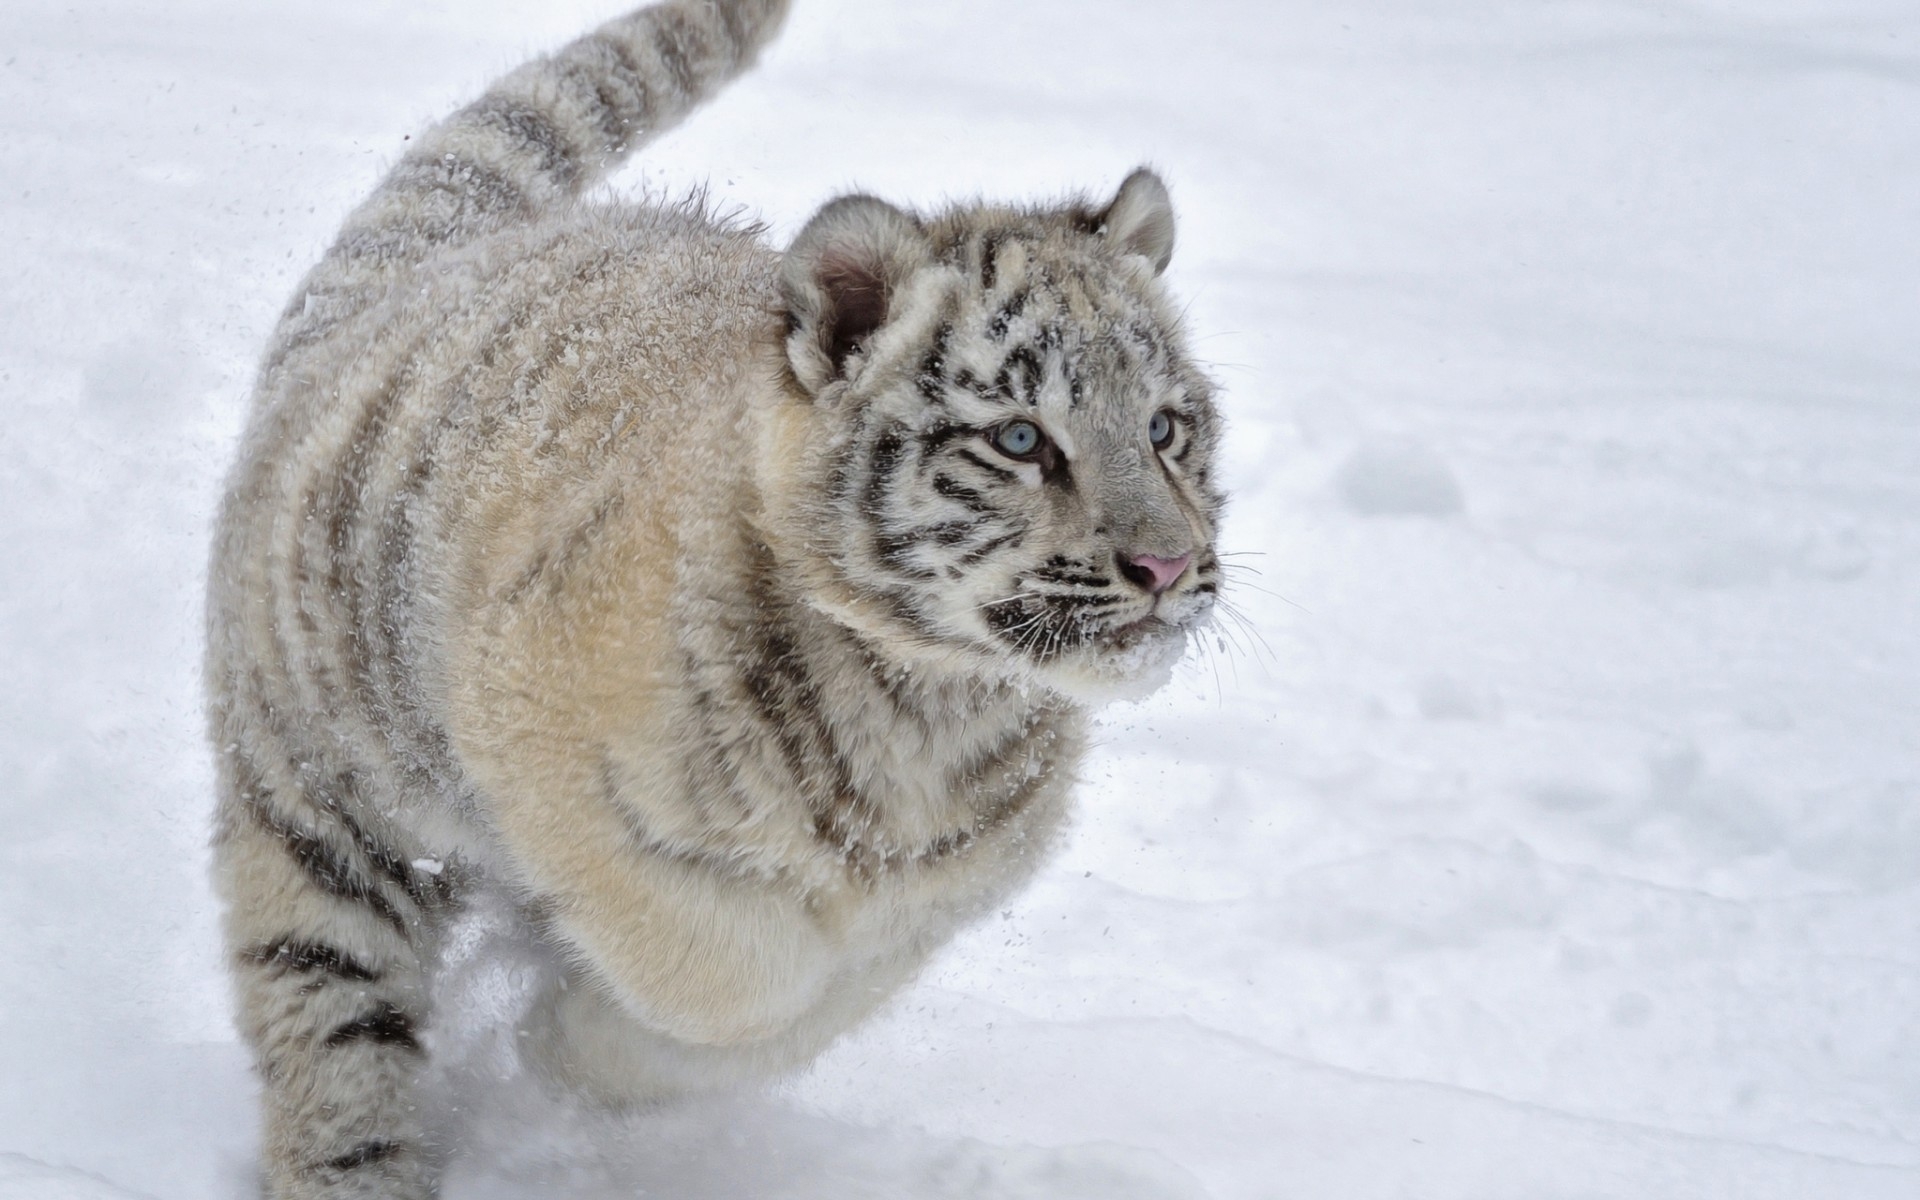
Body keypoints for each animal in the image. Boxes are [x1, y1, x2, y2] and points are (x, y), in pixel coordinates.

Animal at [203, 0, 1227, 1195]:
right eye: (1021, 440)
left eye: (1163, 428)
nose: (1168, 567)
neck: (927, 706)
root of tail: (430, 268)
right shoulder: (543, 749)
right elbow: (726, 975)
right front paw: (560, 1038)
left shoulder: (922, 909)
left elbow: (793, 1010)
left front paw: (576, 1045)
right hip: (321, 806)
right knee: (333, 1031)